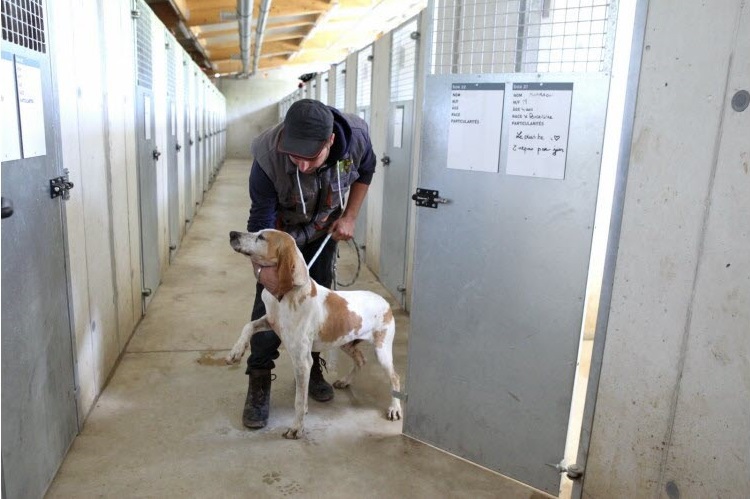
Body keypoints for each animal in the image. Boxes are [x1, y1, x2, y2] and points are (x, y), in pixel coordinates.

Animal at [228, 229, 402, 440]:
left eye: (261, 237)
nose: (232, 234)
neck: (288, 295)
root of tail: (384, 302)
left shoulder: (303, 361)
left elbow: (299, 400)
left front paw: (297, 428)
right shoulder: (269, 322)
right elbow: (249, 325)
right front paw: (237, 350)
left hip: (382, 351)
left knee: (395, 377)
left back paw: (395, 408)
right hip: (345, 342)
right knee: (361, 360)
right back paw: (345, 381)